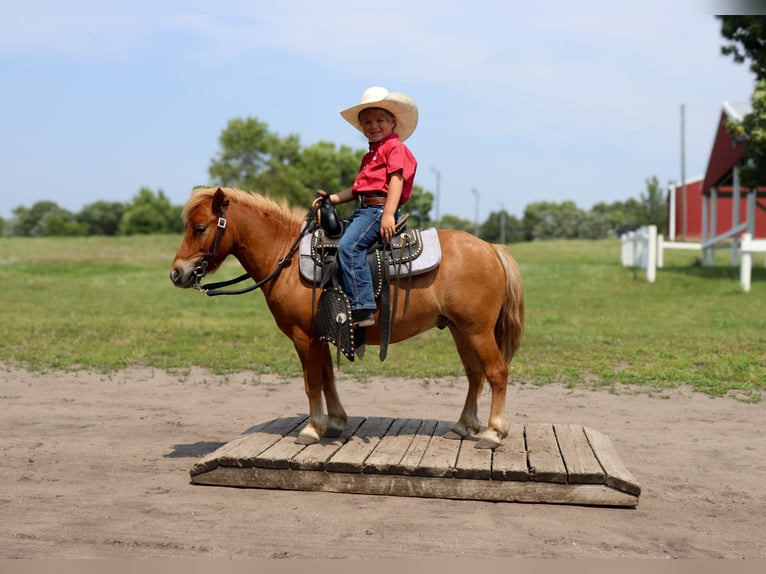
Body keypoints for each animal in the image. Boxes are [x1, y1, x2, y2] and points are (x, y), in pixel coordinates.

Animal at [170, 189, 524, 450]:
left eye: (200, 228)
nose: (177, 273)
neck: (286, 259)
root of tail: (491, 248)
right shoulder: (322, 333)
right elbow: (327, 376)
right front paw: (336, 422)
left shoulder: (303, 336)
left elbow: (312, 381)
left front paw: (312, 429)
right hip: (459, 329)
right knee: (475, 374)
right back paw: (463, 426)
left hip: (477, 330)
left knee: (497, 372)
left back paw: (493, 433)